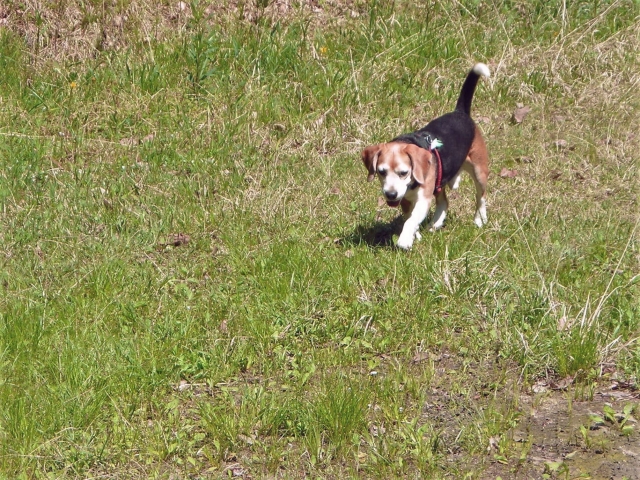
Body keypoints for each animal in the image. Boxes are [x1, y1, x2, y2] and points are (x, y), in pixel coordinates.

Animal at [362, 62, 492, 251]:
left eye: (404, 173)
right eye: (381, 171)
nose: (391, 194)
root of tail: (460, 112)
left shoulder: (423, 198)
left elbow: (411, 220)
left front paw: (404, 239)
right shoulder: (405, 200)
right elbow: (409, 218)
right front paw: (414, 235)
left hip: (479, 170)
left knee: (480, 197)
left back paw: (479, 219)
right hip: (439, 182)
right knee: (444, 202)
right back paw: (436, 223)